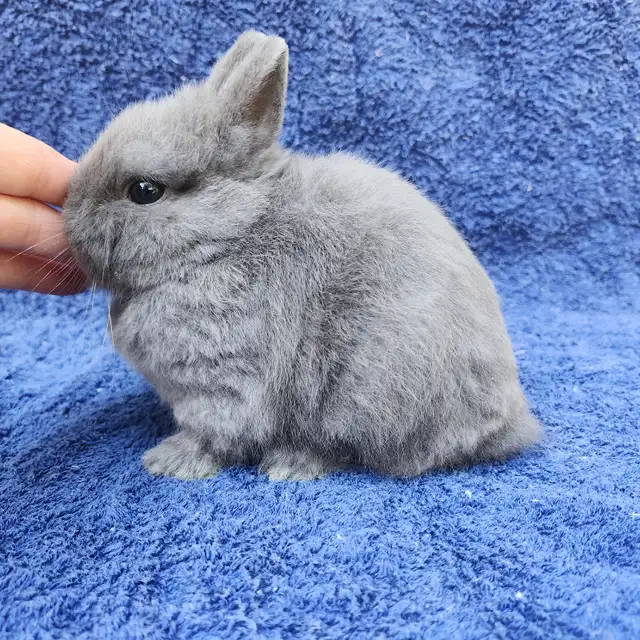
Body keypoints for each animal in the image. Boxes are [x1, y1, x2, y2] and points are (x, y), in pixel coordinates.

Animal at [63, 30, 541, 481]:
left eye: (145, 190)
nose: (70, 223)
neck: (224, 239)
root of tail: (510, 423)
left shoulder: (223, 378)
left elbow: (214, 432)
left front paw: (170, 461)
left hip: (364, 390)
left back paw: (290, 465)